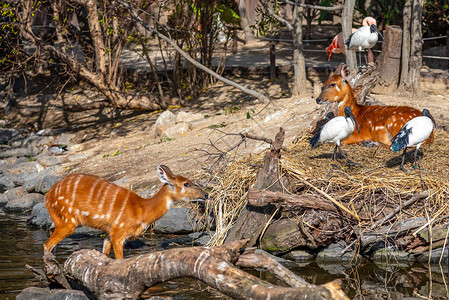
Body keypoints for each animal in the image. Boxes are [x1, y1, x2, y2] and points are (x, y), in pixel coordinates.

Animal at [43, 164, 208, 258]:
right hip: (68, 222)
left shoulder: (108, 232)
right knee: (46, 245)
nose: (206, 194)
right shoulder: (118, 233)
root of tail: (48, 195)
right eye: (186, 184)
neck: (143, 209)